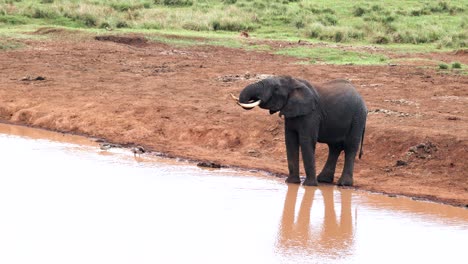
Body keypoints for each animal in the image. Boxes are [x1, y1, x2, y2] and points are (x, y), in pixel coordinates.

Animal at [232, 75, 368, 187]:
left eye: (276, 89)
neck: (294, 83)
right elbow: (290, 141)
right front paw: (291, 182)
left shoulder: (312, 114)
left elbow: (306, 142)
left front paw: (309, 185)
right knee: (334, 147)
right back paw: (323, 180)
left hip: (358, 117)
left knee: (350, 147)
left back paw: (343, 184)